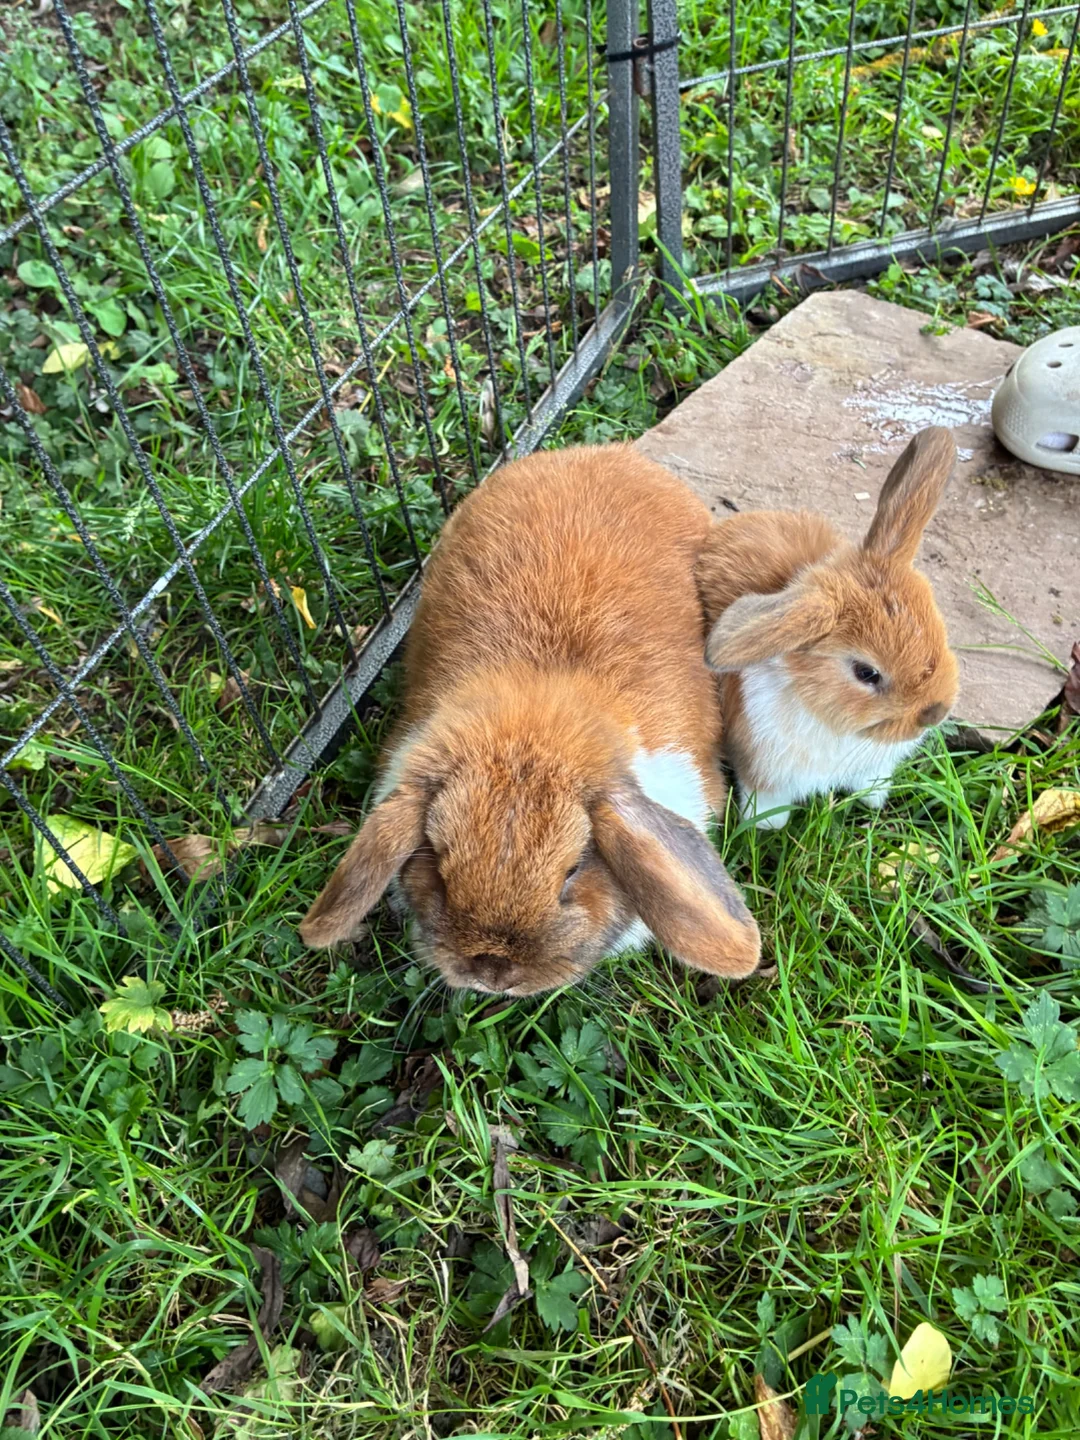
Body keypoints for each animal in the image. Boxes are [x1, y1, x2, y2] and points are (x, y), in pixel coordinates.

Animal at [697, 425, 960, 830]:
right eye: (866, 673)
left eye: (939, 630)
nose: (934, 713)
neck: (833, 721)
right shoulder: (763, 774)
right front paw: (766, 826)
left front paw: (874, 801)